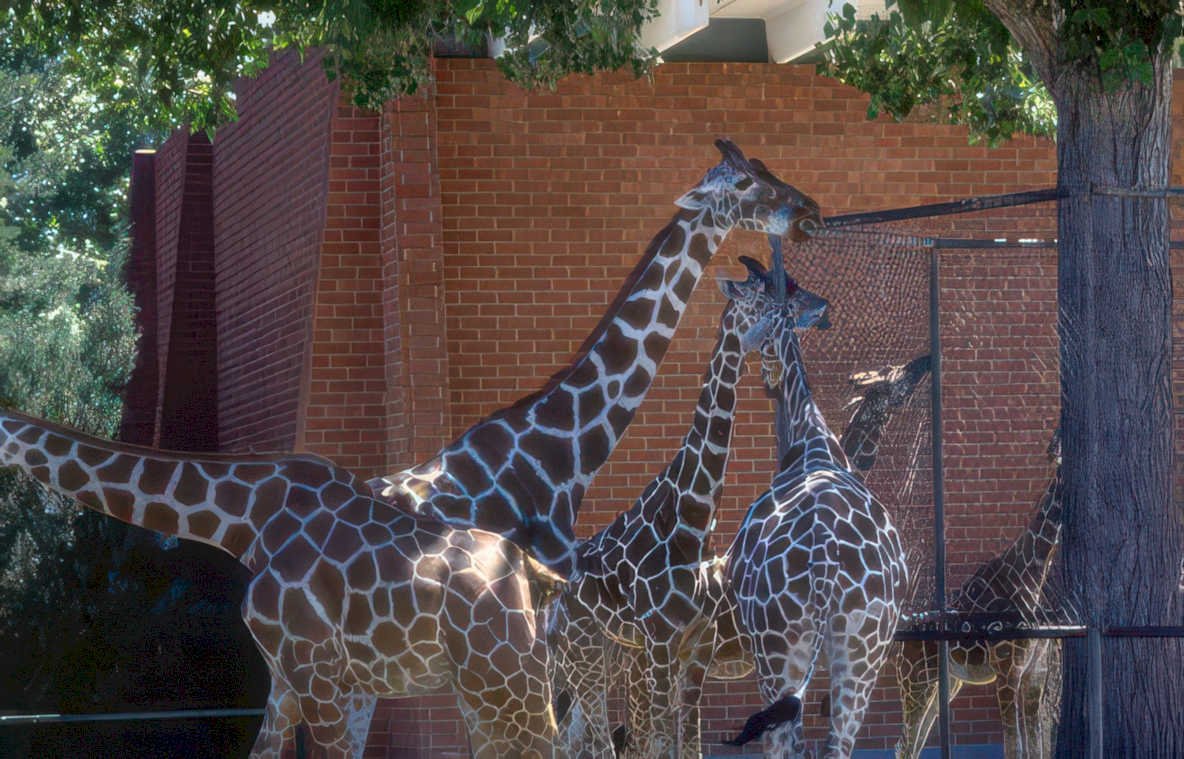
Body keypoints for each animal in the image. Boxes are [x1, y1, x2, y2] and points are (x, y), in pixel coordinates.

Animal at [0, 407, 565, 758]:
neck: (245, 521)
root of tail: (532, 571)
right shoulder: (284, 679)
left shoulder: (317, 673)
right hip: (486, 683)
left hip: (509, 677)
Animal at [548, 254, 831, 759]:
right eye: (766, 298)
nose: (822, 310)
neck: (692, 523)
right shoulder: (661, 642)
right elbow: (661, 740)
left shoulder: (694, 645)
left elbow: (687, 741)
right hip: (585, 652)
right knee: (592, 740)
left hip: (613, 655)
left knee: (589, 737)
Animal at [722, 246, 909, 758]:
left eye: (748, 306)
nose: (763, 376)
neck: (809, 437)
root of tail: (825, 564)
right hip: (864, 650)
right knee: (835, 744)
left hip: (778, 646)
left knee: (786, 742)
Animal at [896, 431, 1063, 759]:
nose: (1054, 447)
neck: (1032, 573)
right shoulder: (1008, 669)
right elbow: (1014, 745)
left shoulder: (1035, 673)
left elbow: (1035, 746)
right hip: (915, 680)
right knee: (904, 744)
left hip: (945, 685)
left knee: (913, 742)